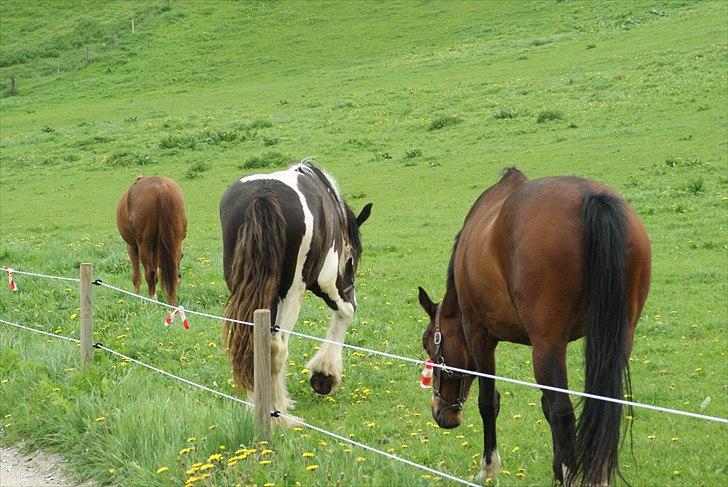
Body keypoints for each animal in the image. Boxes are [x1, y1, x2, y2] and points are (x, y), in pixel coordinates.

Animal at [116, 175, 188, 304]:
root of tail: (161, 188)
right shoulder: (156, 250)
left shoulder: (132, 248)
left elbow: (136, 276)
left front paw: (137, 296)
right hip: (175, 242)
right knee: (170, 271)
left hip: (144, 246)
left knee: (150, 272)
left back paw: (152, 299)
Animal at [219, 160, 372, 420]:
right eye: (350, 261)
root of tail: (264, 197)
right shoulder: (328, 281)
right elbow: (345, 313)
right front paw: (324, 376)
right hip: (294, 293)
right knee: (277, 346)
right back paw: (277, 411)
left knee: (252, 341)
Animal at [418, 169, 652, 487]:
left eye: (429, 344)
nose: (441, 414)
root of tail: (593, 198)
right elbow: (546, 407)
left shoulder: (479, 334)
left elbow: (489, 401)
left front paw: (489, 467)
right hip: (617, 338)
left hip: (546, 346)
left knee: (564, 412)